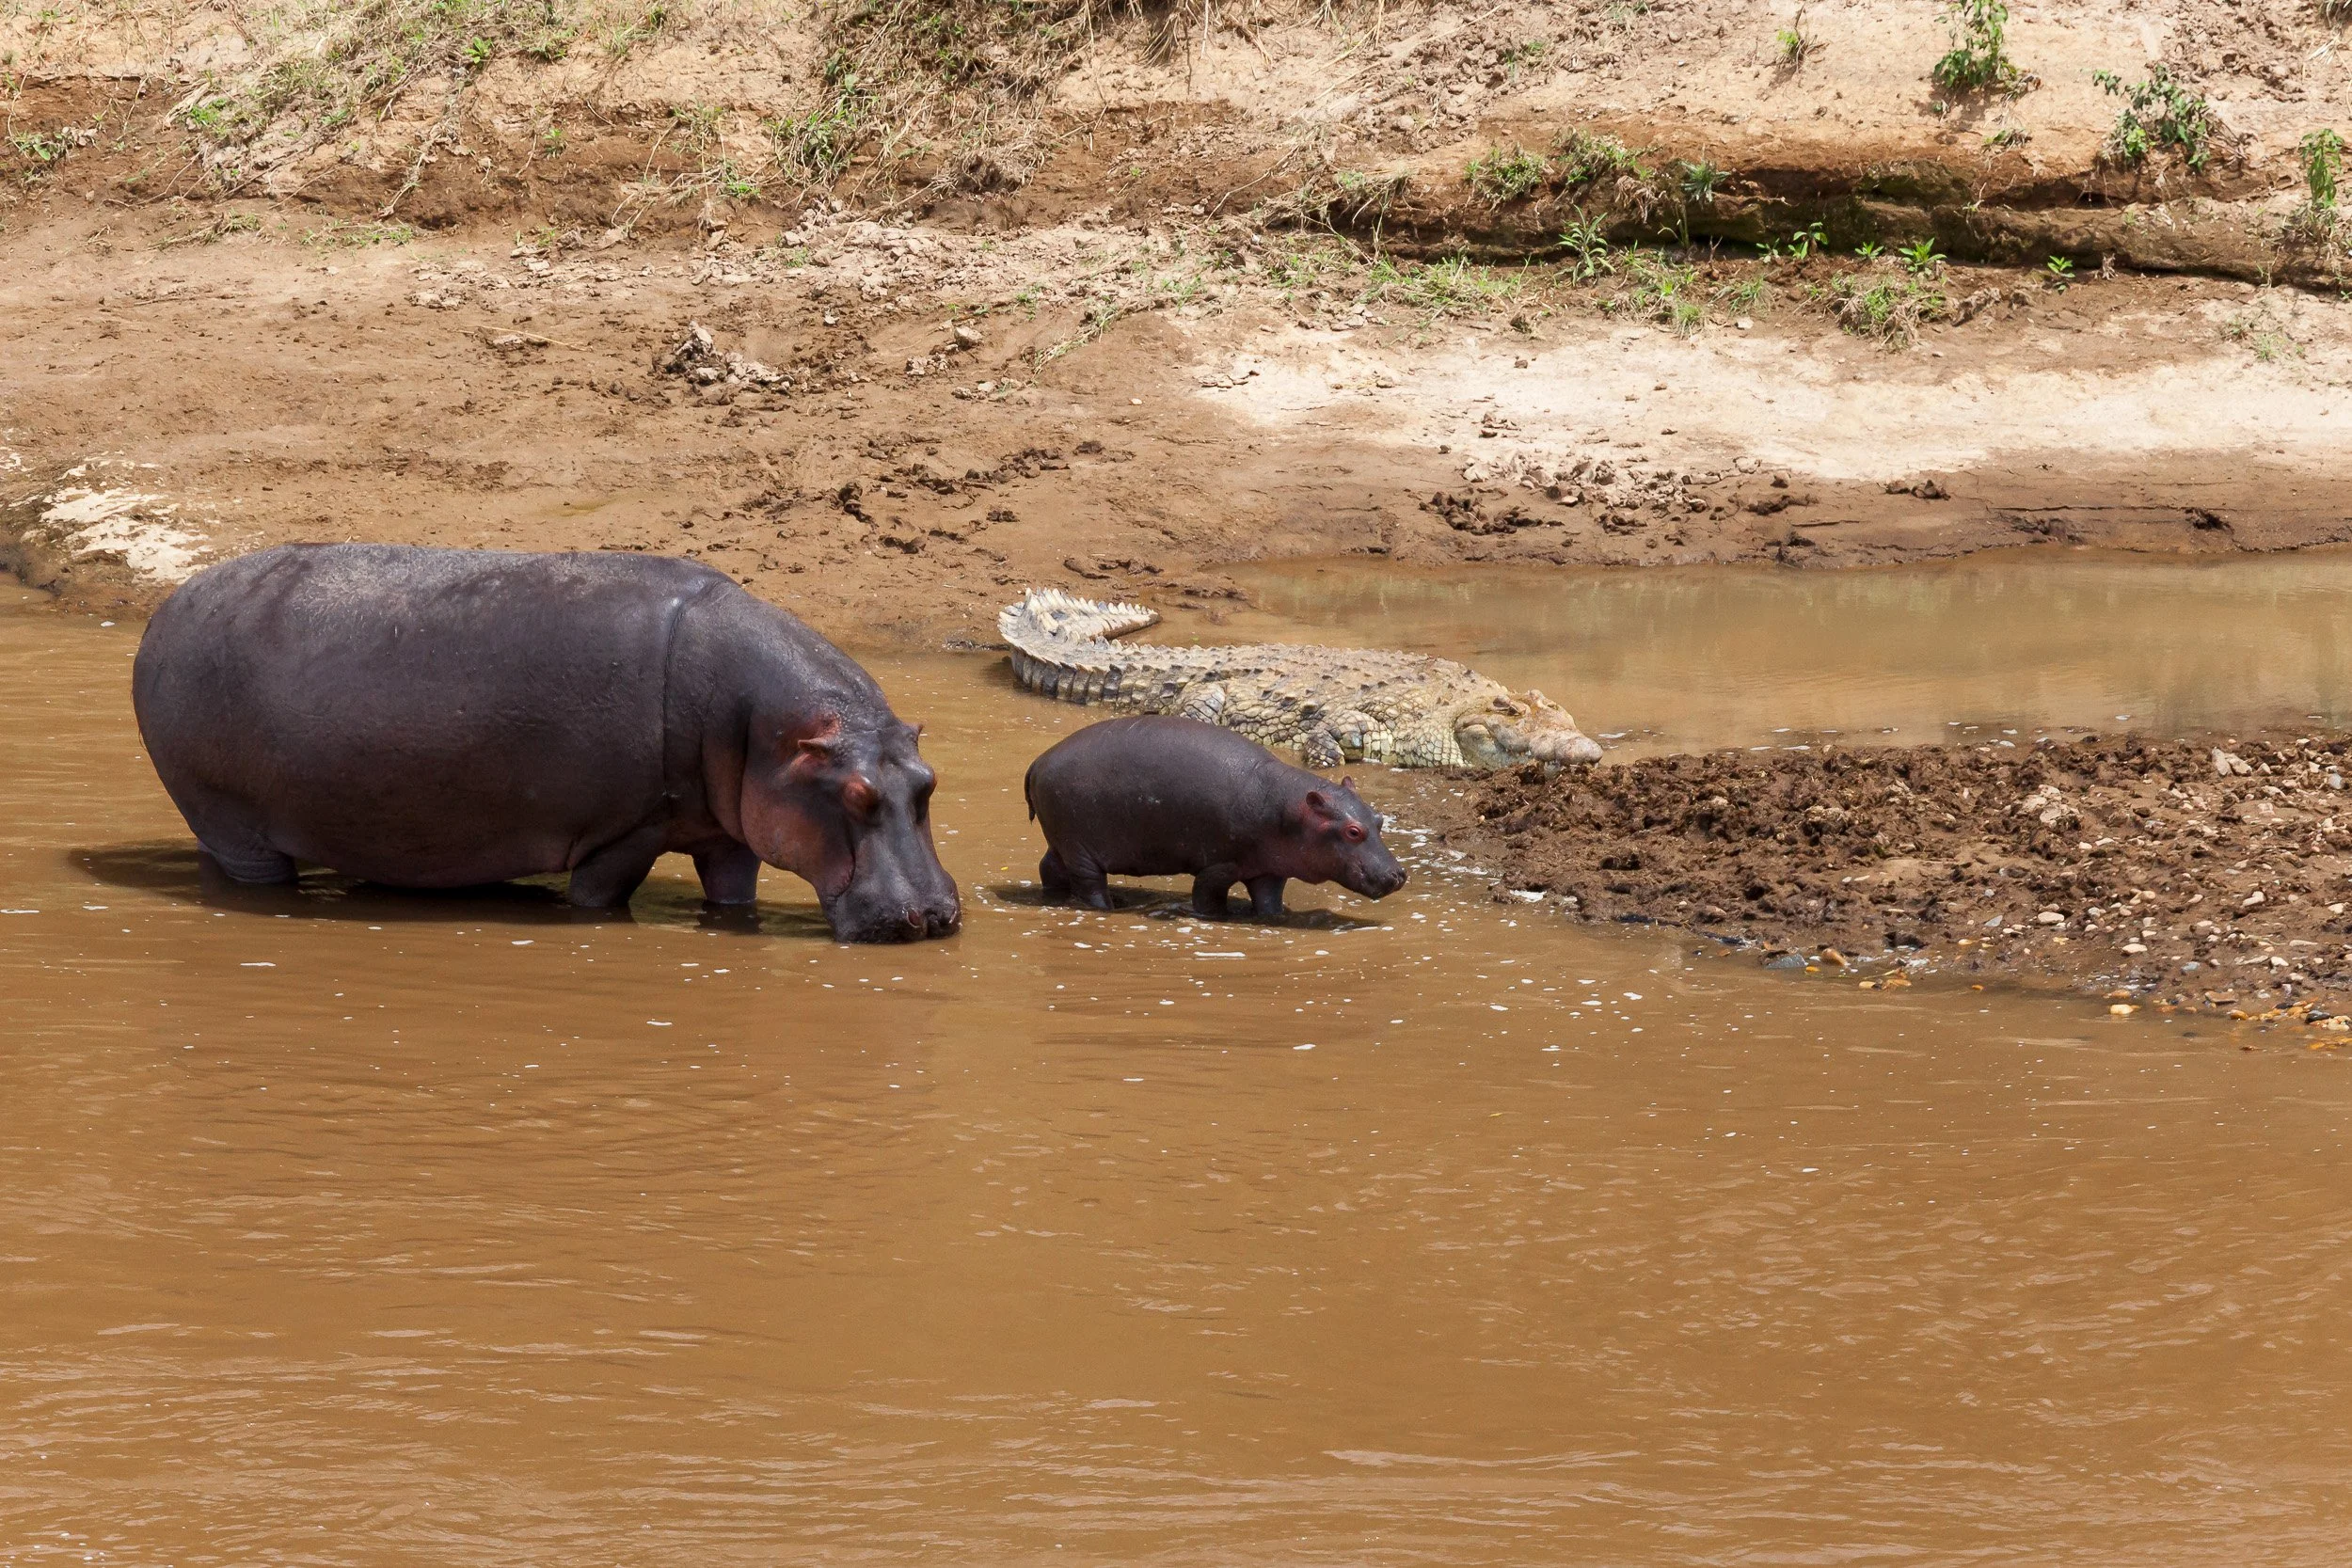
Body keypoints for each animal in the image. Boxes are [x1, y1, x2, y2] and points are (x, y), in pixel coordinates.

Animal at [131, 544, 961, 943]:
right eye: (854, 793)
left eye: (928, 782)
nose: (935, 915)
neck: (765, 727)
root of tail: (162, 613)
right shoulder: (626, 831)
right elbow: (597, 899)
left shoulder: (727, 831)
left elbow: (733, 895)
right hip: (233, 826)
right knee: (249, 875)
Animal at [1023, 716, 1408, 920]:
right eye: (1353, 831)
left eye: (1379, 819)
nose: (1398, 874)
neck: (1289, 808)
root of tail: (1038, 761)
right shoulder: (1218, 866)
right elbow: (1207, 897)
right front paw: (1215, 918)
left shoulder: (1269, 870)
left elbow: (1269, 903)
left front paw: (1275, 918)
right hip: (1081, 848)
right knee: (1089, 884)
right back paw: (1109, 908)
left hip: (1062, 841)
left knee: (1049, 867)